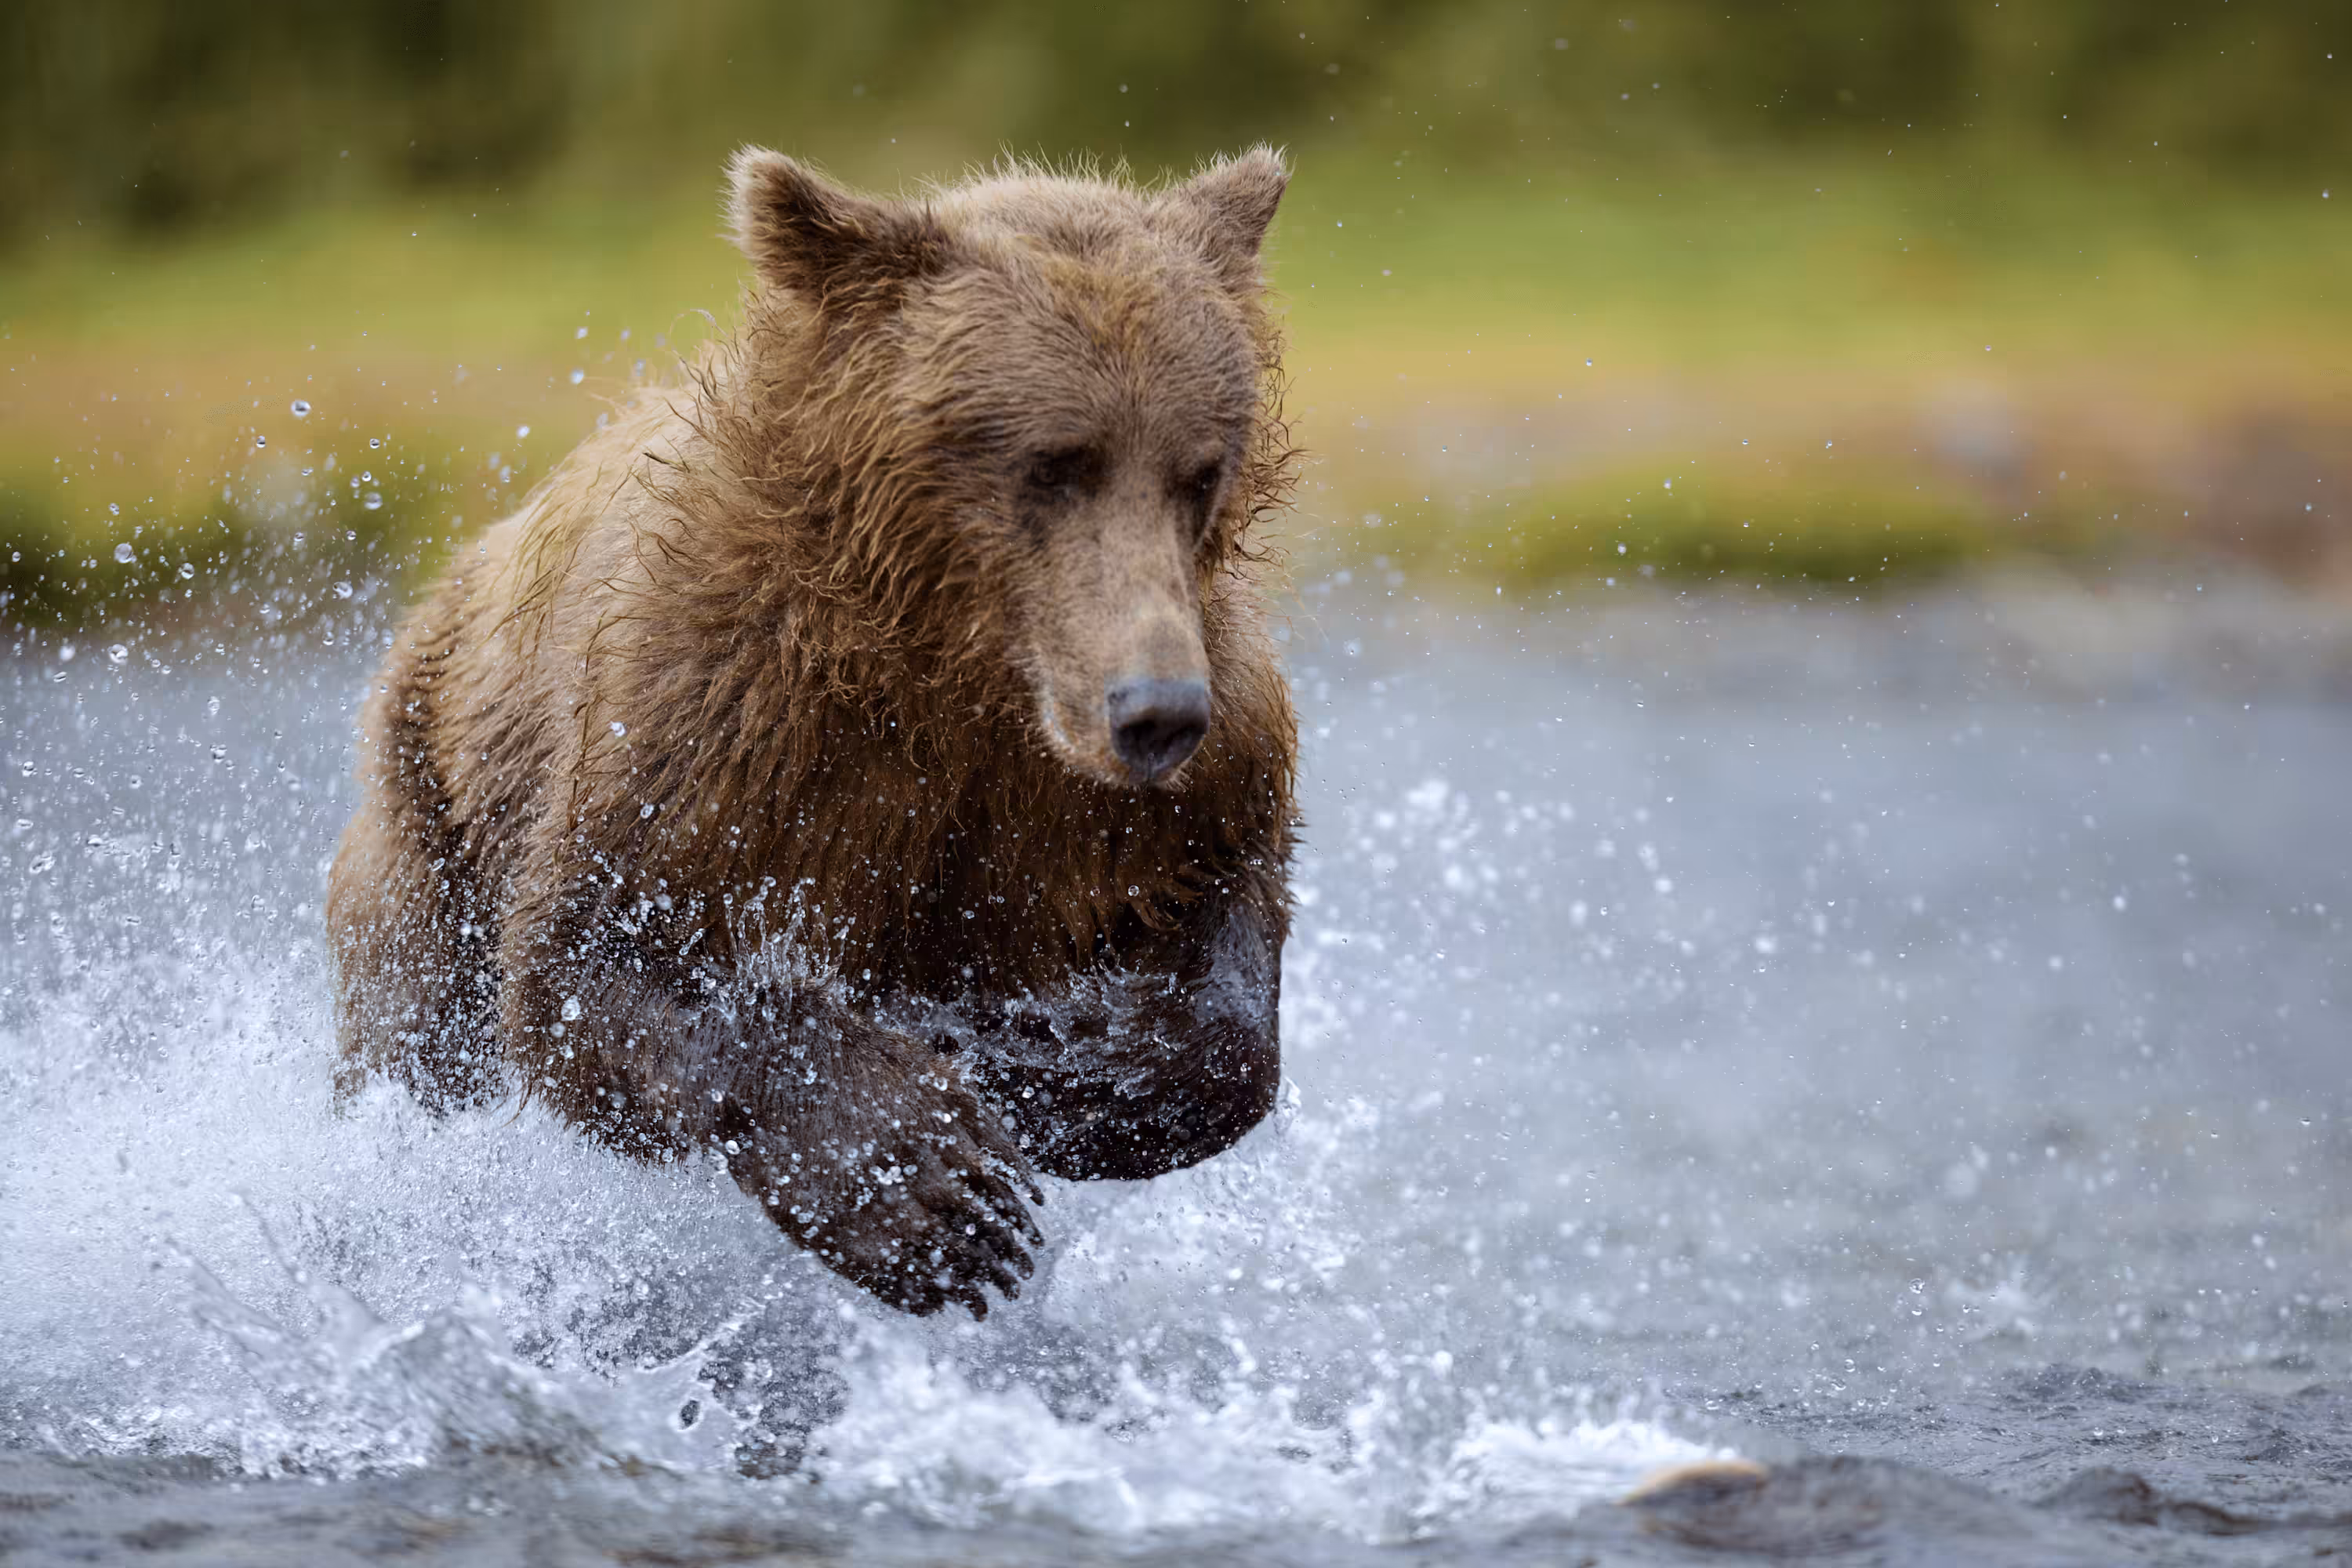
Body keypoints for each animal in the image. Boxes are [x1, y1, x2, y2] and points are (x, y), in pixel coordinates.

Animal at [325, 147, 1300, 1321]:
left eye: (1198, 469)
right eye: (1053, 462)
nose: (1154, 711)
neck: (957, 666)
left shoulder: (1155, 773)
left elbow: (1227, 922)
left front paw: (1063, 1061)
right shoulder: (719, 718)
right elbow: (590, 965)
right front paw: (928, 1183)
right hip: (433, 809)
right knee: (419, 1035)